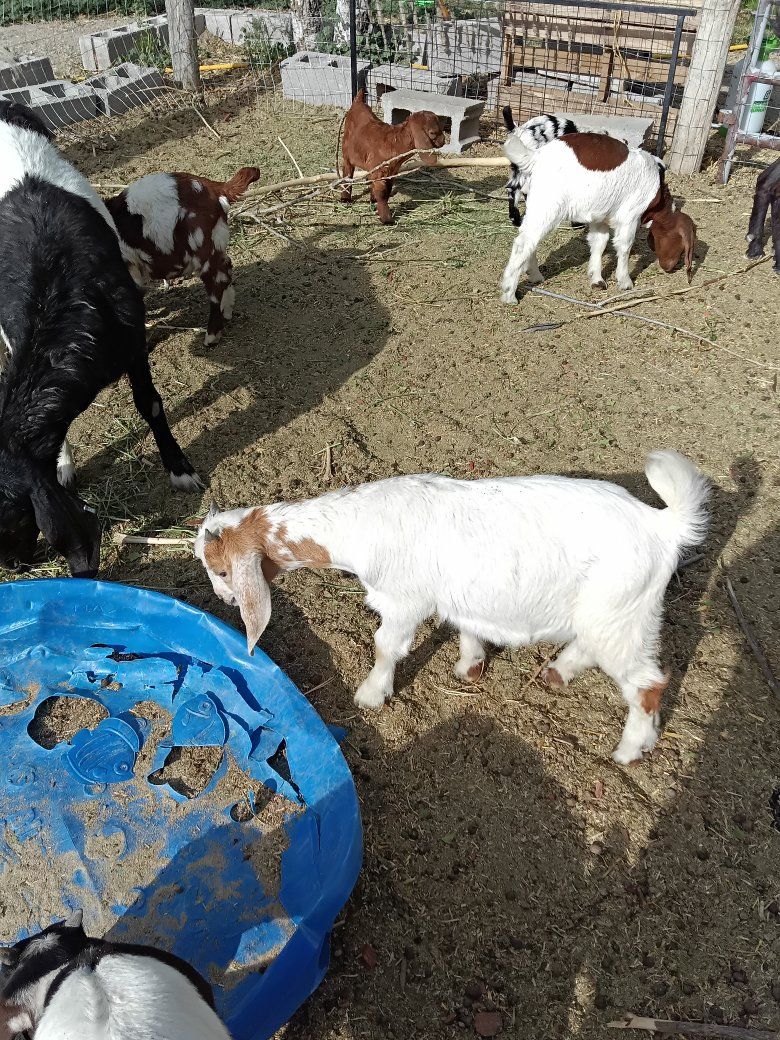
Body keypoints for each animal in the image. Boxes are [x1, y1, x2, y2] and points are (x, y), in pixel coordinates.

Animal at [0, 101, 202, 576]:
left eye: (9, 518)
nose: (12, 568)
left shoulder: (132, 338)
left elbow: (150, 403)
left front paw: (179, 468)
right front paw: (64, 462)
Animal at [105, 166, 261, 347]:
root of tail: (215, 188)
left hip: (203, 247)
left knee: (217, 283)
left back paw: (212, 336)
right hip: (216, 244)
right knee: (227, 268)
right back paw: (227, 311)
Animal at [195, 450, 709, 765]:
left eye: (221, 570)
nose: (223, 599)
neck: (358, 526)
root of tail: (664, 525)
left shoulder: (405, 600)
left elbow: (385, 645)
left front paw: (371, 695)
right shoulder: (457, 596)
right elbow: (466, 626)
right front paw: (470, 665)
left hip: (620, 613)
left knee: (648, 683)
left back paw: (628, 749)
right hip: (611, 614)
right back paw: (558, 674)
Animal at [339, 89, 445, 224]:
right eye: (433, 132)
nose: (443, 141)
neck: (395, 142)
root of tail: (358, 101)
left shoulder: (392, 171)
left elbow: (387, 190)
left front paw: (376, 203)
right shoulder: (379, 170)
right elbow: (382, 192)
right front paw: (387, 219)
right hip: (346, 152)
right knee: (347, 171)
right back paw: (345, 199)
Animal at [499, 132, 697, 301]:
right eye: (681, 248)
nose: (670, 268)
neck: (657, 195)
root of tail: (536, 156)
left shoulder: (600, 216)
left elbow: (599, 243)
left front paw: (597, 279)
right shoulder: (630, 216)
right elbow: (624, 246)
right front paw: (625, 282)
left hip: (536, 207)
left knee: (529, 239)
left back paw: (535, 276)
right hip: (548, 206)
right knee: (523, 243)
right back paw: (509, 294)